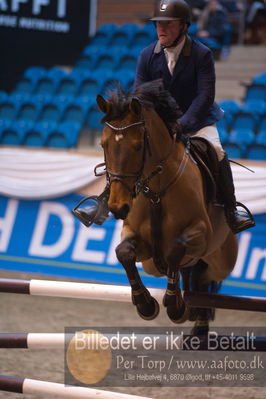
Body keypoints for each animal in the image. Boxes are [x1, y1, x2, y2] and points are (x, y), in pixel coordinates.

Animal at [94, 79, 238, 332]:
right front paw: (145, 303)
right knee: (197, 277)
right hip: (154, 264)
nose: (118, 208)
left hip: (222, 259)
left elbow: (175, 250)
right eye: (103, 145)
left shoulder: (201, 233)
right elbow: (123, 253)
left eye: (137, 146)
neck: (156, 192)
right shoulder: (137, 240)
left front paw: (175, 305)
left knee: (204, 277)